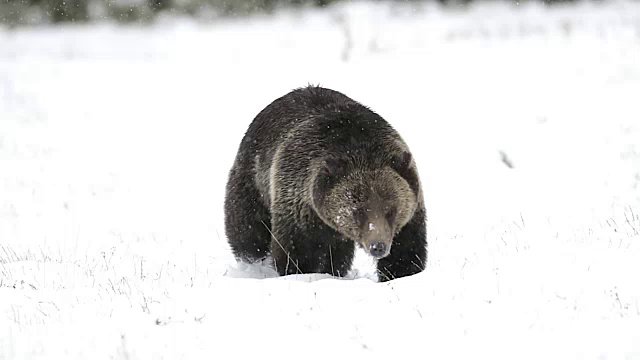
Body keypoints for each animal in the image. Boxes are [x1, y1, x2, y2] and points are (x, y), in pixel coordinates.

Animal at [222, 85, 428, 282]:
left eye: (391, 210)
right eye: (358, 211)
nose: (378, 246)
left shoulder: (411, 209)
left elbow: (406, 251)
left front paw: (400, 274)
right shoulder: (299, 204)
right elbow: (297, 252)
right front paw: (299, 273)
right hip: (254, 177)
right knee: (248, 228)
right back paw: (252, 264)